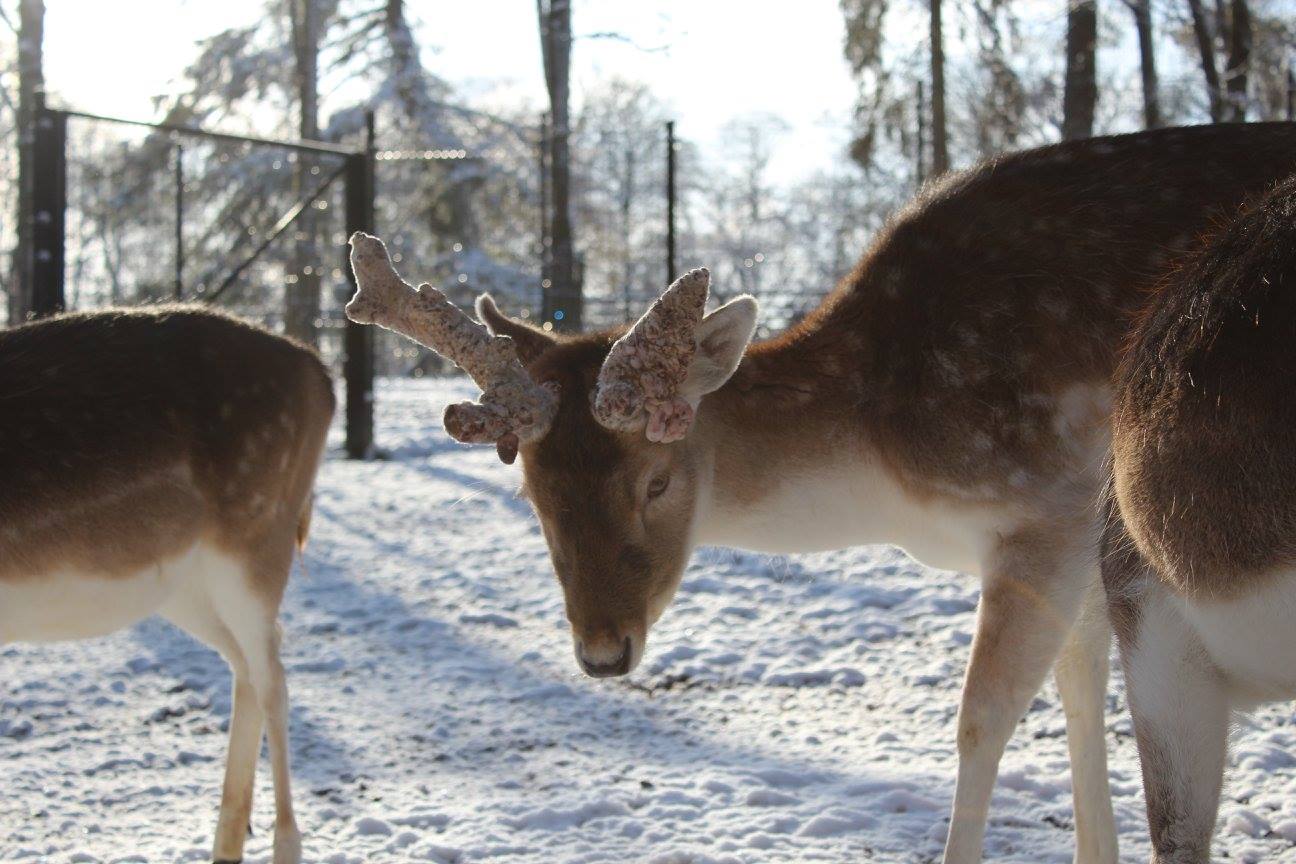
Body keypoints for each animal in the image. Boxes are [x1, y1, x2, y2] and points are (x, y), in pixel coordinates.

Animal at [1, 309, 334, 864]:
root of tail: (322, 376)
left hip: (254, 537)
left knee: (274, 676)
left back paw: (283, 844)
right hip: (186, 584)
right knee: (247, 663)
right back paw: (226, 842)